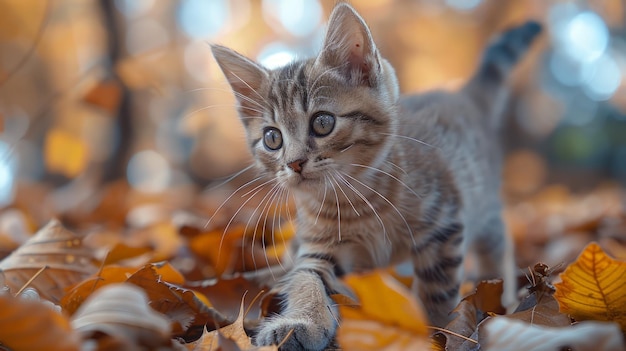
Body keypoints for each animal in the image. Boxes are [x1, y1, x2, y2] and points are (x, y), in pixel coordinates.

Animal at [211, 3, 540, 351]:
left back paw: (497, 290)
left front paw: (433, 329)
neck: (355, 198)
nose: (295, 163)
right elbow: (307, 279)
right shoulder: (320, 245)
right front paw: (300, 323)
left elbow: (437, 290)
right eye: (272, 138)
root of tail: (461, 96)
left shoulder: (443, 225)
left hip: (483, 204)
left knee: (496, 243)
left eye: (323, 122)